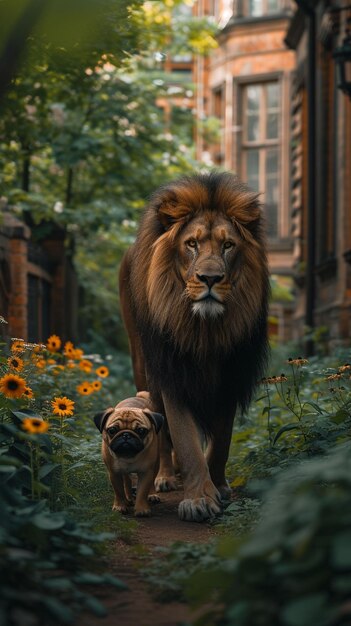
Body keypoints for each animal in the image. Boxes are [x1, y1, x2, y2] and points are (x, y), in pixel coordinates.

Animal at [119, 171, 270, 520]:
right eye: (191, 244)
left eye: (228, 245)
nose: (210, 278)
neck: (205, 332)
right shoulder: (174, 373)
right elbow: (184, 440)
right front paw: (199, 498)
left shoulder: (230, 376)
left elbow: (222, 441)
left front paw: (219, 486)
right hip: (144, 366)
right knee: (158, 428)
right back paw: (161, 478)